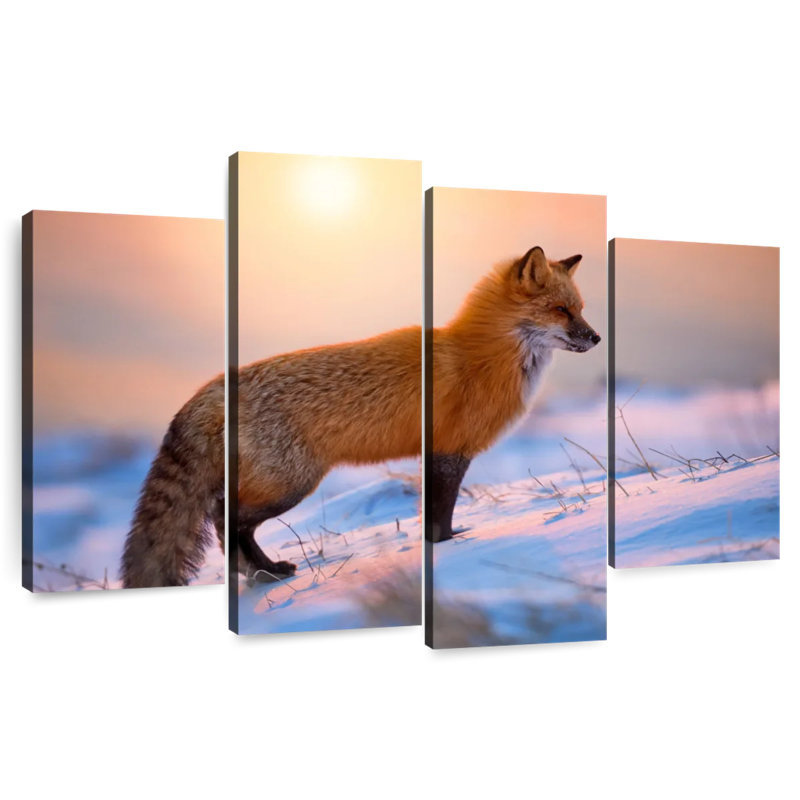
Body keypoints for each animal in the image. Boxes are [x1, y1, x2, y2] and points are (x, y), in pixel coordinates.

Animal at [120, 245, 598, 586]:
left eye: (580, 308)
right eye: (561, 310)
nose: (595, 338)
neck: (483, 358)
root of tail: (213, 385)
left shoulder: (439, 452)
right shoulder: (448, 451)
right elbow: (440, 514)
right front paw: (447, 546)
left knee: (229, 524)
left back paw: (263, 572)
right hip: (291, 484)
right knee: (225, 520)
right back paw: (265, 572)